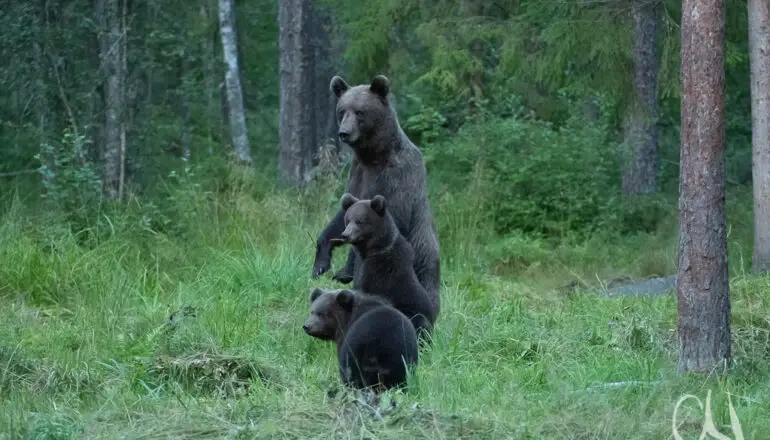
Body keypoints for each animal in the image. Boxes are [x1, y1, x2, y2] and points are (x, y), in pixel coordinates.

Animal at [311, 74, 442, 321]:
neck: (373, 156)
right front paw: (322, 262)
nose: (344, 132)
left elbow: (388, 221)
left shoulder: (396, 178)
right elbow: (343, 212)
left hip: (423, 264)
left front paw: (345, 270)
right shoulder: (357, 175)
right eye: (342, 110)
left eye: (360, 112)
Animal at [329, 193, 435, 340]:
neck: (368, 250)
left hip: (415, 315)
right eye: (347, 220)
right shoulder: (360, 265)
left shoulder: (380, 270)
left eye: (359, 221)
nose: (345, 235)